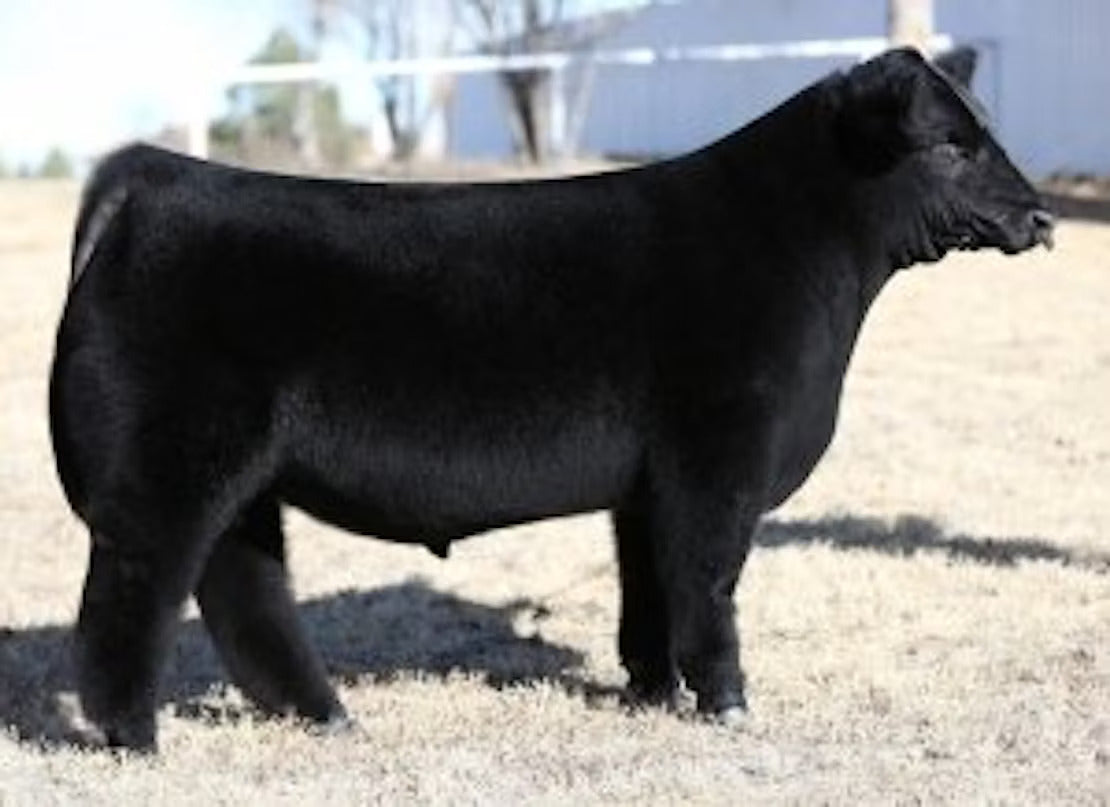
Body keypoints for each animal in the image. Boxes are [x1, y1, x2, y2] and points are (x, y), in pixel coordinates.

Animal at [49, 47, 1053, 751]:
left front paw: (653, 691)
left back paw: (324, 714)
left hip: (241, 480)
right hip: (170, 466)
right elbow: (708, 583)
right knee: (136, 592)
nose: (1042, 216)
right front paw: (726, 701)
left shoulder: (648, 487)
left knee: (240, 585)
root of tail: (156, 176)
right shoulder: (718, 459)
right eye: (951, 145)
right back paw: (133, 735)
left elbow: (649, 590)